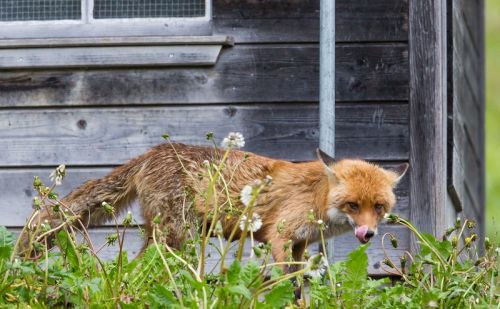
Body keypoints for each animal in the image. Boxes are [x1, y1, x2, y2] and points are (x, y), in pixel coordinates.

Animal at [26, 142, 406, 268]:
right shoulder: (278, 237)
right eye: (353, 205)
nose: (369, 234)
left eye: (379, 207)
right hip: (176, 235)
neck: (316, 198)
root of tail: (152, 152)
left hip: (164, 235)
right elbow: (285, 281)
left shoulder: (300, 244)